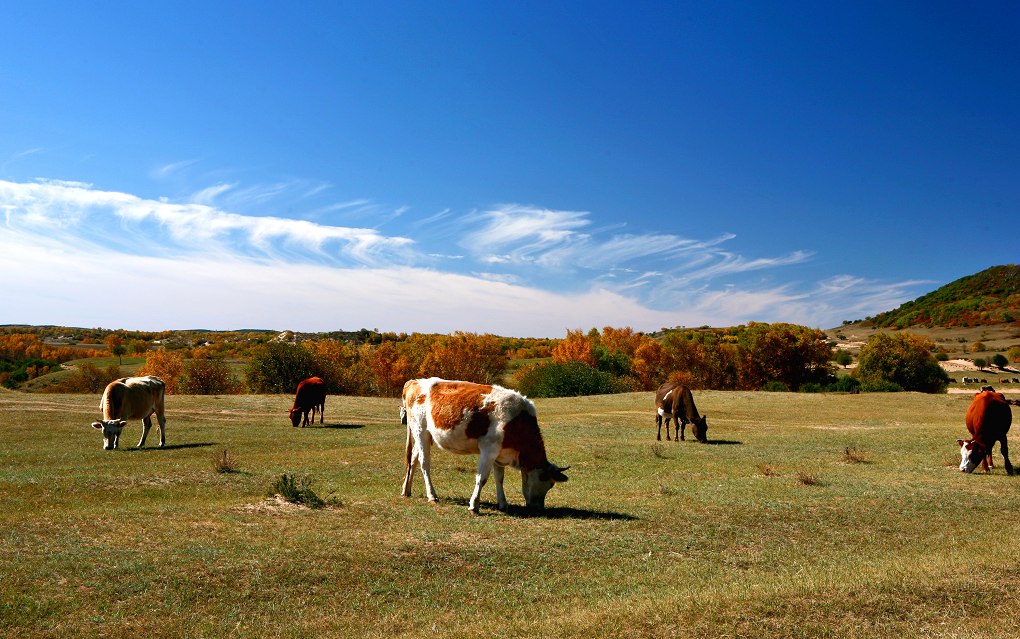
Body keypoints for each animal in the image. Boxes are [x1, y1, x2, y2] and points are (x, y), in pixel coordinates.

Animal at [399, 377, 575, 512]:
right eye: (548, 482)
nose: (538, 508)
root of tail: (414, 382)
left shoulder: (500, 453)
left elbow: (499, 478)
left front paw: (503, 503)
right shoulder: (489, 449)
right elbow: (482, 478)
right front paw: (474, 505)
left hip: (422, 435)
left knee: (413, 459)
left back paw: (406, 490)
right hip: (421, 431)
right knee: (424, 463)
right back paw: (432, 495)